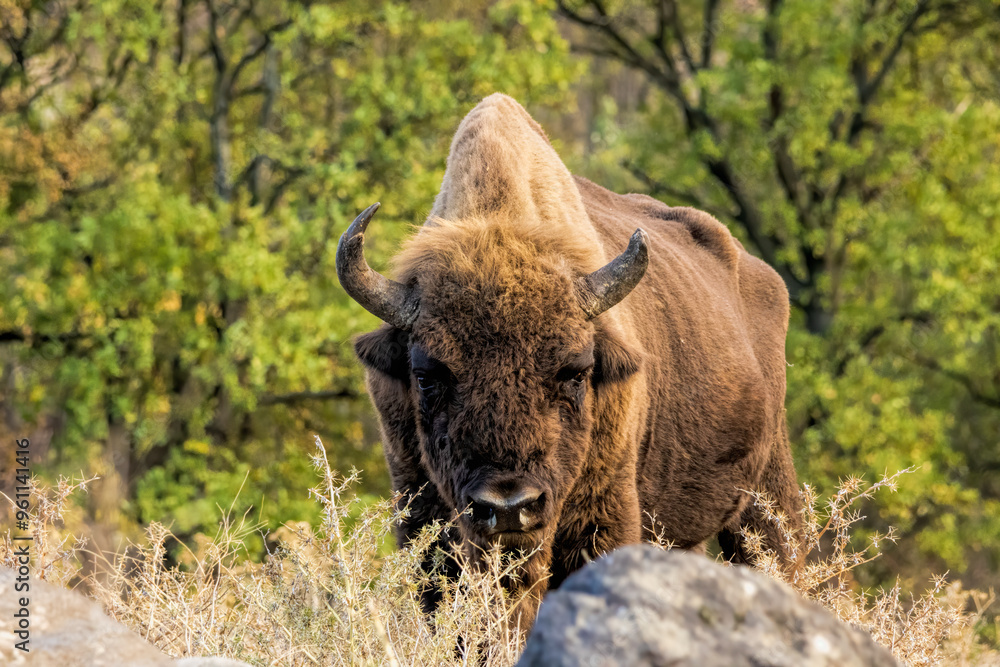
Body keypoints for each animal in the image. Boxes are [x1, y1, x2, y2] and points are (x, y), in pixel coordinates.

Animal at [337, 94, 802, 628]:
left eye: (576, 372)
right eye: (427, 375)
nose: (508, 504)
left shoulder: (604, 514)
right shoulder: (422, 513)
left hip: (766, 495)